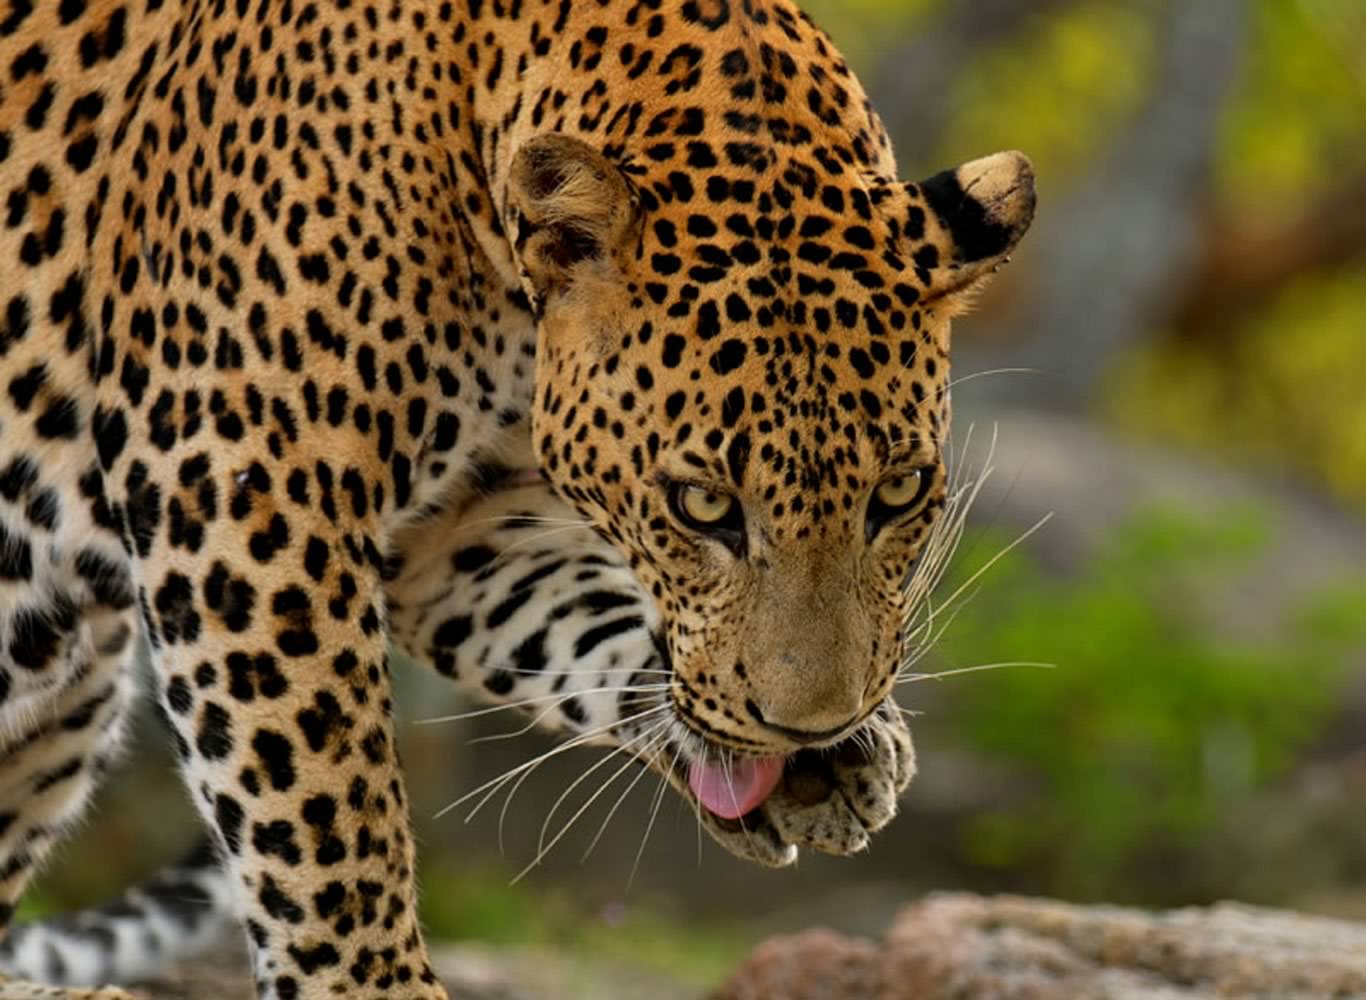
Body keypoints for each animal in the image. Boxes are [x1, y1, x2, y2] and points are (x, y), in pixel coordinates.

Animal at [0, 0, 1035, 996]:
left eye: (899, 491)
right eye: (702, 506)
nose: (811, 729)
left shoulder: (456, 527)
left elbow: (584, 626)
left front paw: (830, 760)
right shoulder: (238, 473)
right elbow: (323, 801)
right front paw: (371, 984)